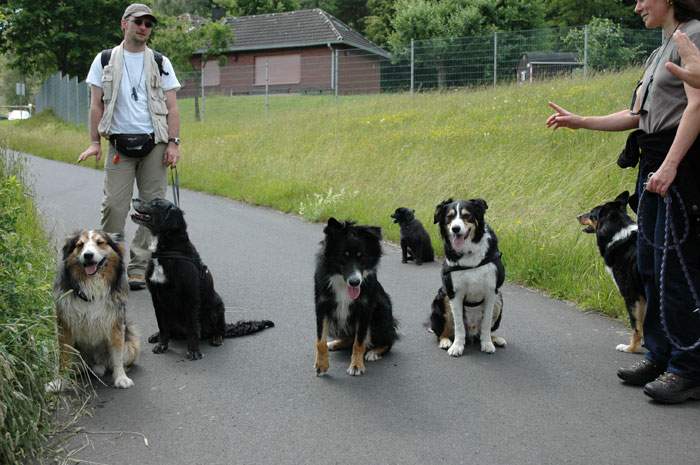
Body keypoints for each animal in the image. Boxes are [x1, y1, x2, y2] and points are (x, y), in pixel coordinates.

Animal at [131, 196, 274, 358]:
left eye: (156, 203)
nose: (134, 198)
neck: (167, 250)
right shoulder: (156, 297)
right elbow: (162, 325)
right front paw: (162, 344)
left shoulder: (190, 296)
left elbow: (193, 327)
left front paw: (194, 351)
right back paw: (157, 336)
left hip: (217, 306)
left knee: (219, 330)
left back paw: (217, 338)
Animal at [430, 198, 506, 356]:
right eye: (449, 217)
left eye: (467, 216)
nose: (455, 229)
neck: (469, 252)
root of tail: (472, 332)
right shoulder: (454, 293)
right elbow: (459, 325)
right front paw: (457, 346)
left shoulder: (491, 292)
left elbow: (486, 323)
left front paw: (487, 344)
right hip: (442, 298)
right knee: (444, 331)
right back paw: (445, 341)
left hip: (499, 299)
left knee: (484, 330)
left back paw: (495, 339)